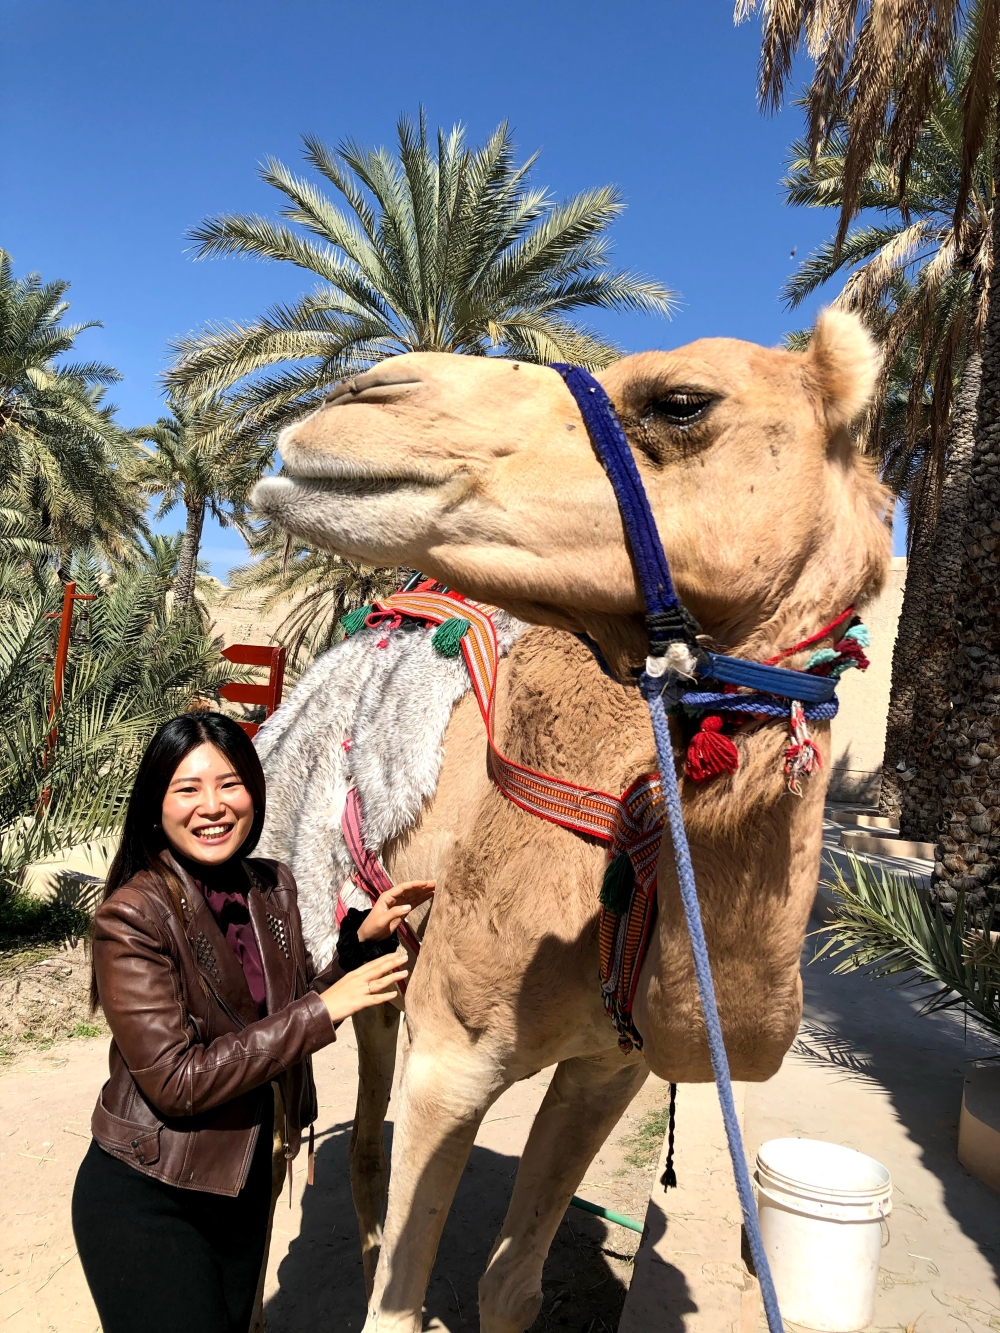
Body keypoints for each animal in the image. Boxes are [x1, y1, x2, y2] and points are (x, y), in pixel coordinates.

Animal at [251, 309, 891, 1333]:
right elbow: (396, 1306)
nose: (362, 394)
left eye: (680, 402)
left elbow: (512, 1282)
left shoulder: (609, 1066)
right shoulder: (451, 1052)